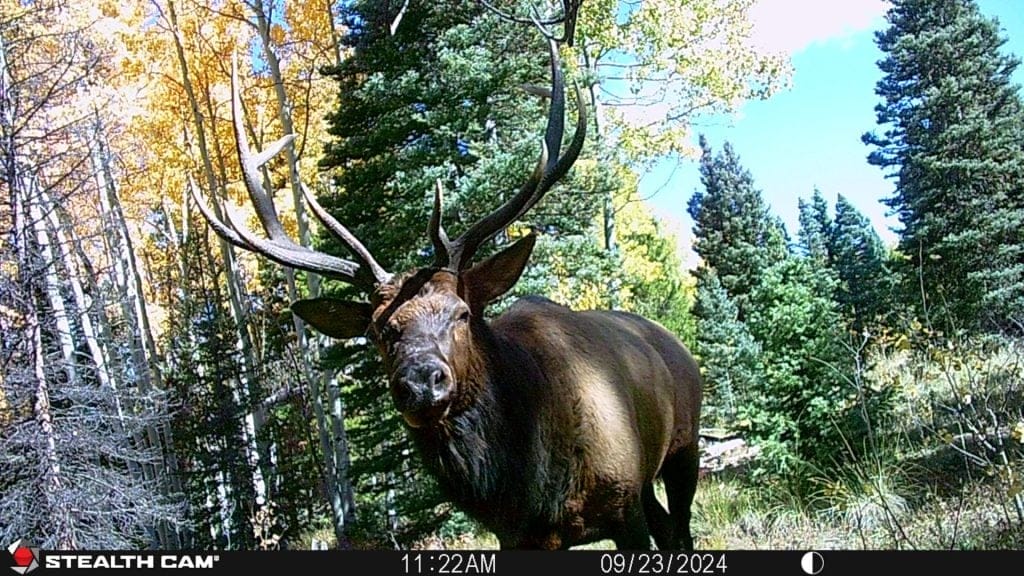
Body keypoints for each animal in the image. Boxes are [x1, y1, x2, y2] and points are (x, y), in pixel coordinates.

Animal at [192, 39, 700, 545]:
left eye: (461, 313)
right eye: (378, 330)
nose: (420, 381)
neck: (531, 481)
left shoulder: (622, 500)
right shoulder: (516, 534)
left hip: (684, 446)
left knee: (680, 528)